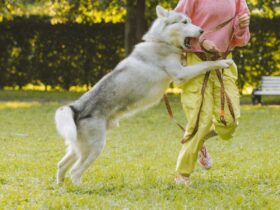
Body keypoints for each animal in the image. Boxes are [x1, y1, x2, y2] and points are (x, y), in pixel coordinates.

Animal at [55, 5, 234, 185]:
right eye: (184, 22)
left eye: (191, 21)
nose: (202, 30)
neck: (161, 41)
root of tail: (76, 107)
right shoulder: (181, 74)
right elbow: (206, 64)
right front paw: (222, 61)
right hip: (95, 147)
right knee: (75, 171)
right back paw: (80, 187)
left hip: (78, 147)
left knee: (61, 164)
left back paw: (61, 186)